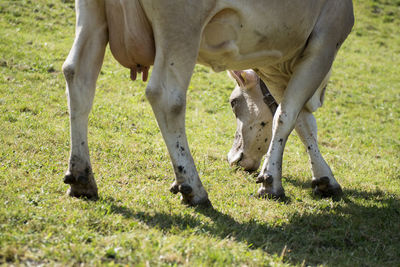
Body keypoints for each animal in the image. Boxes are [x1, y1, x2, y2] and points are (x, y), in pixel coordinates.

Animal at [62, 0, 354, 207]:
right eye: (233, 103)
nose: (233, 159)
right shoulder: (324, 42)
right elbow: (289, 115)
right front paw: (271, 182)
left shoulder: (274, 62)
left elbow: (301, 121)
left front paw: (324, 178)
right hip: (181, 25)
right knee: (167, 96)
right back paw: (193, 188)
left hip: (92, 16)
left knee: (78, 76)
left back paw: (81, 178)